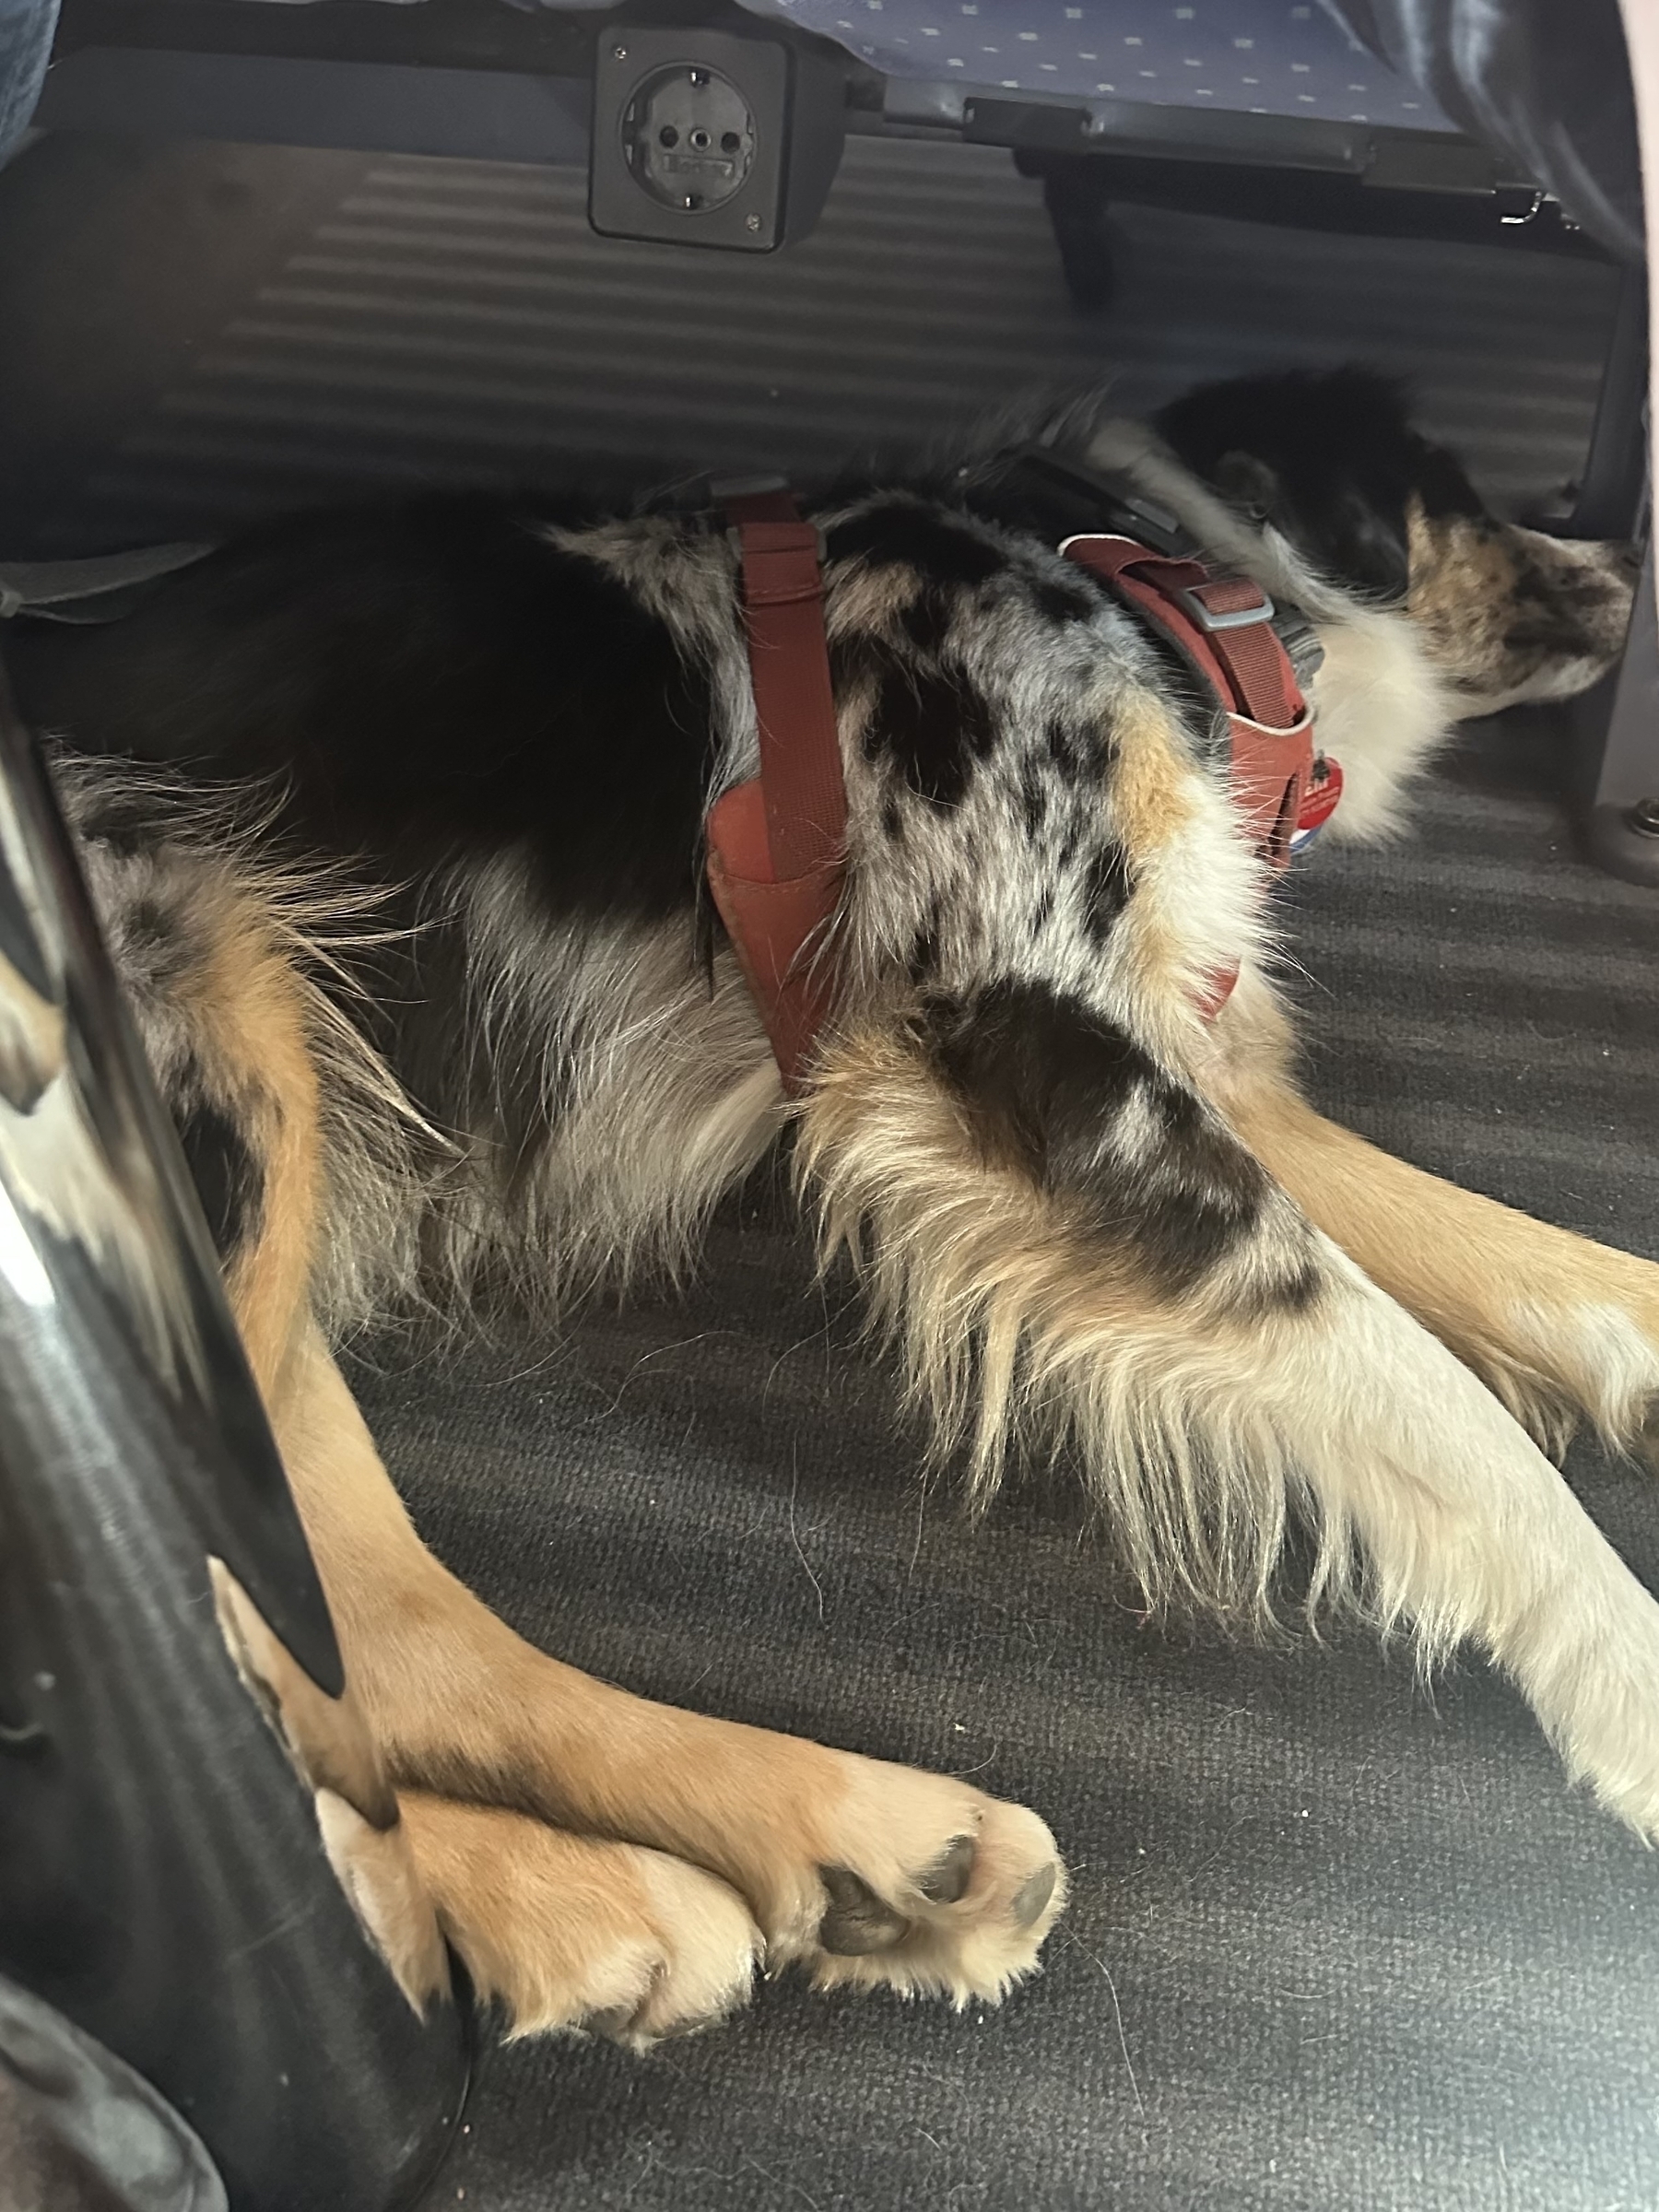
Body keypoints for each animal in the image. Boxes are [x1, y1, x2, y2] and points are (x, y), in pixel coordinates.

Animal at [0, 362, 1637, 2035]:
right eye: (1480, 498)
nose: (1617, 551)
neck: (1156, 585)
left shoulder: (1177, 1060)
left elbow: (1530, 1264)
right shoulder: (1027, 1047)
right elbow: (1444, 1404)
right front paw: (1630, 1684)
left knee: (374, 1646)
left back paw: (734, 1883)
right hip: (206, 1020)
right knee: (265, 1652)